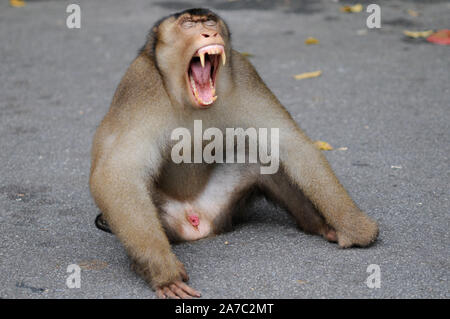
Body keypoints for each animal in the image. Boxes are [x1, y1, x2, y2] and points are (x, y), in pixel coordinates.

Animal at [89, 8, 378, 302]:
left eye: (209, 22)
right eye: (189, 24)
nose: (209, 33)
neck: (188, 101)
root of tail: (197, 222)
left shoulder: (244, 73)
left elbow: (291, 144)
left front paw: (354, 227)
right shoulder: (138, 85)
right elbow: (117, 173)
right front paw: (163, 273)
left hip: (221, 206)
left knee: (261, 160)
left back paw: (320, 226)